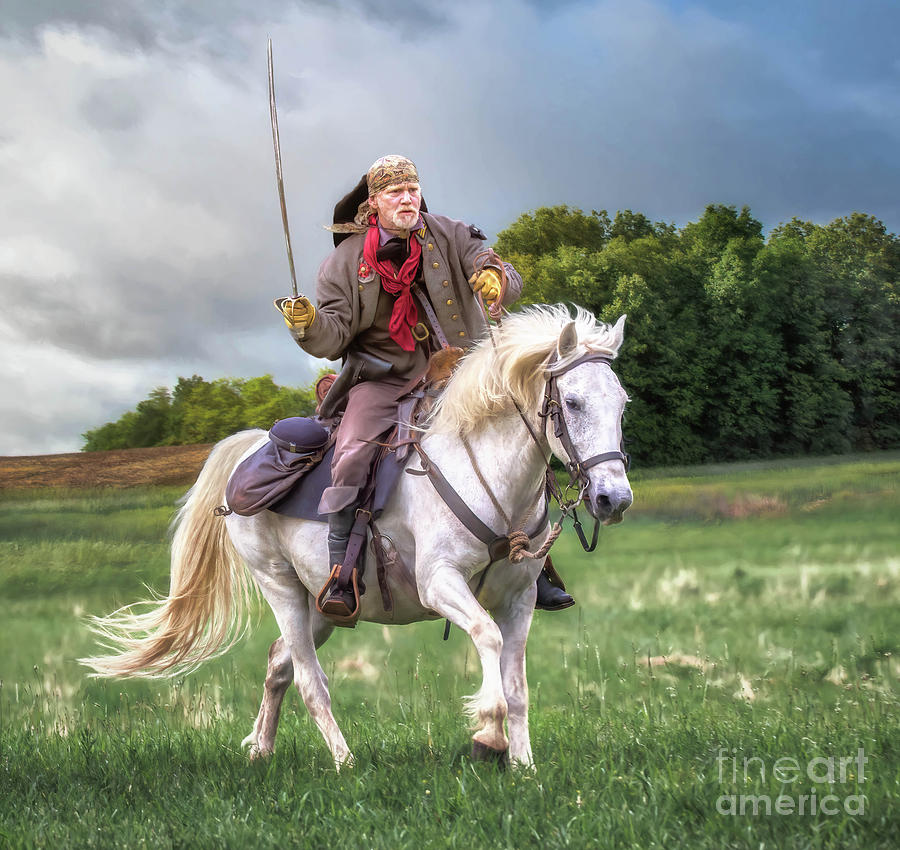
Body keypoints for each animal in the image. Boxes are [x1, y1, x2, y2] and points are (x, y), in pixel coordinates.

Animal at [84, 306, 632, 768]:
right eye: (573, 402)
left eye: (622, 404)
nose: (614, 498)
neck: (487, 475)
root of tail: (252, 449)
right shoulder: (441, 584)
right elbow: (486, 638)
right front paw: (488, 735)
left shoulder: (519, 599)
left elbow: (517, 687)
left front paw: (523, 766)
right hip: (281, 588)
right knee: (309, 680)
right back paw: (344, 761)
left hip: (320, 607)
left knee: (279, 663)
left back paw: (261, 749)